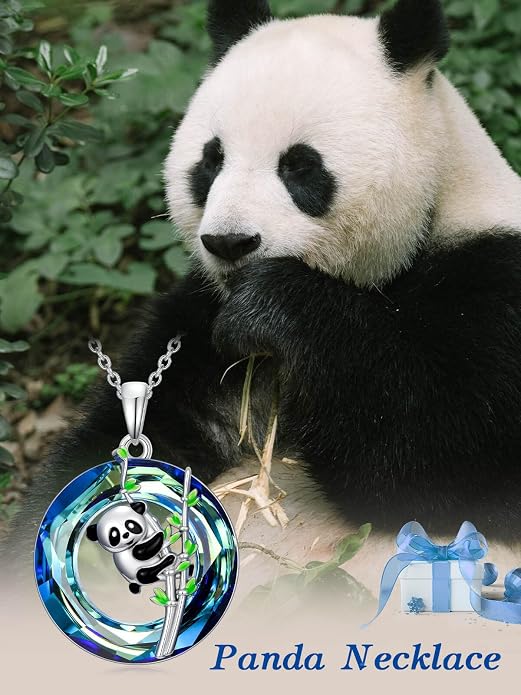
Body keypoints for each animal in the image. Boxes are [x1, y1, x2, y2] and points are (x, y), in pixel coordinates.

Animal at [5, 0, 521, 580]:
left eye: (300, 165)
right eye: (211, 160)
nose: (230, 242)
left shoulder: (492, 282)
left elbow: (448, 459)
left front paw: (273, 309)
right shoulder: (196, 322)